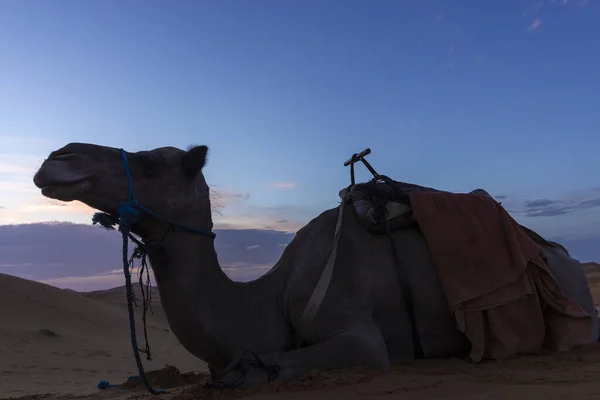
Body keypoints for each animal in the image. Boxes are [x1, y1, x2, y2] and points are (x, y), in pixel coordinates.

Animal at [34, 143, 600, 388]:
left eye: (150, 161)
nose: (57, 158)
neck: (269, 298)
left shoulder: (360, 334)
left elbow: (262, 365)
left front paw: (253, 370)